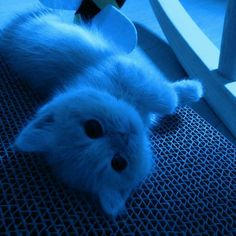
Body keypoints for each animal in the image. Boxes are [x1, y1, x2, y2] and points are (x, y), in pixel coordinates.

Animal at [0, 9, 203, 218]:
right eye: (118, 163)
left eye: (93, 128)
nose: (124, 135)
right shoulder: (130, 73)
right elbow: (169, 99)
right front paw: (193, 89)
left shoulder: (124, 71)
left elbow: (165, 99)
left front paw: (189, 90)